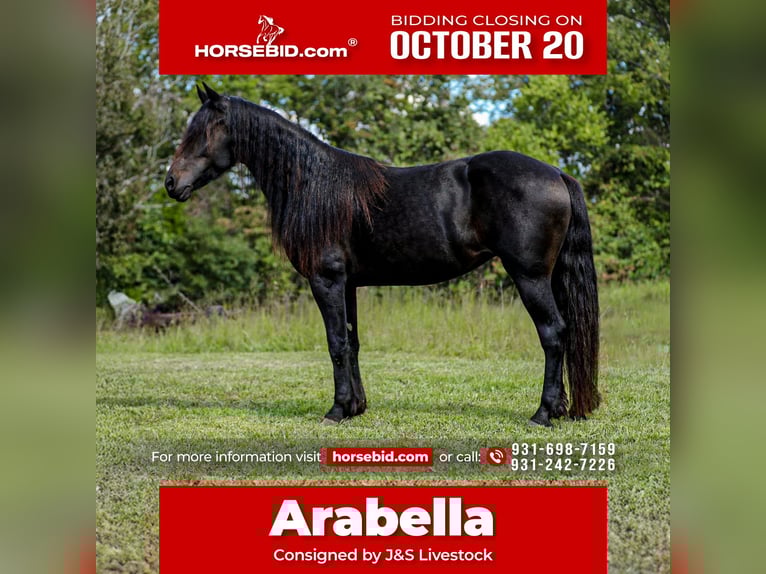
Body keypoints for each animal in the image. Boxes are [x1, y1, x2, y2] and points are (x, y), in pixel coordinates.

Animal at [164, 82, 600, 427]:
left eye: (203, 132)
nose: (171, 183)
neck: (314, 184)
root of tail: (557, 173)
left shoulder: (326, 279)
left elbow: (336, 342)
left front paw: (336, 410)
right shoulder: (348, 284)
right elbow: (352, 342)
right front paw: (356, 407)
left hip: (529, 276)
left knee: (553, 334)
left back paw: (542, 414)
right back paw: (559, 408)